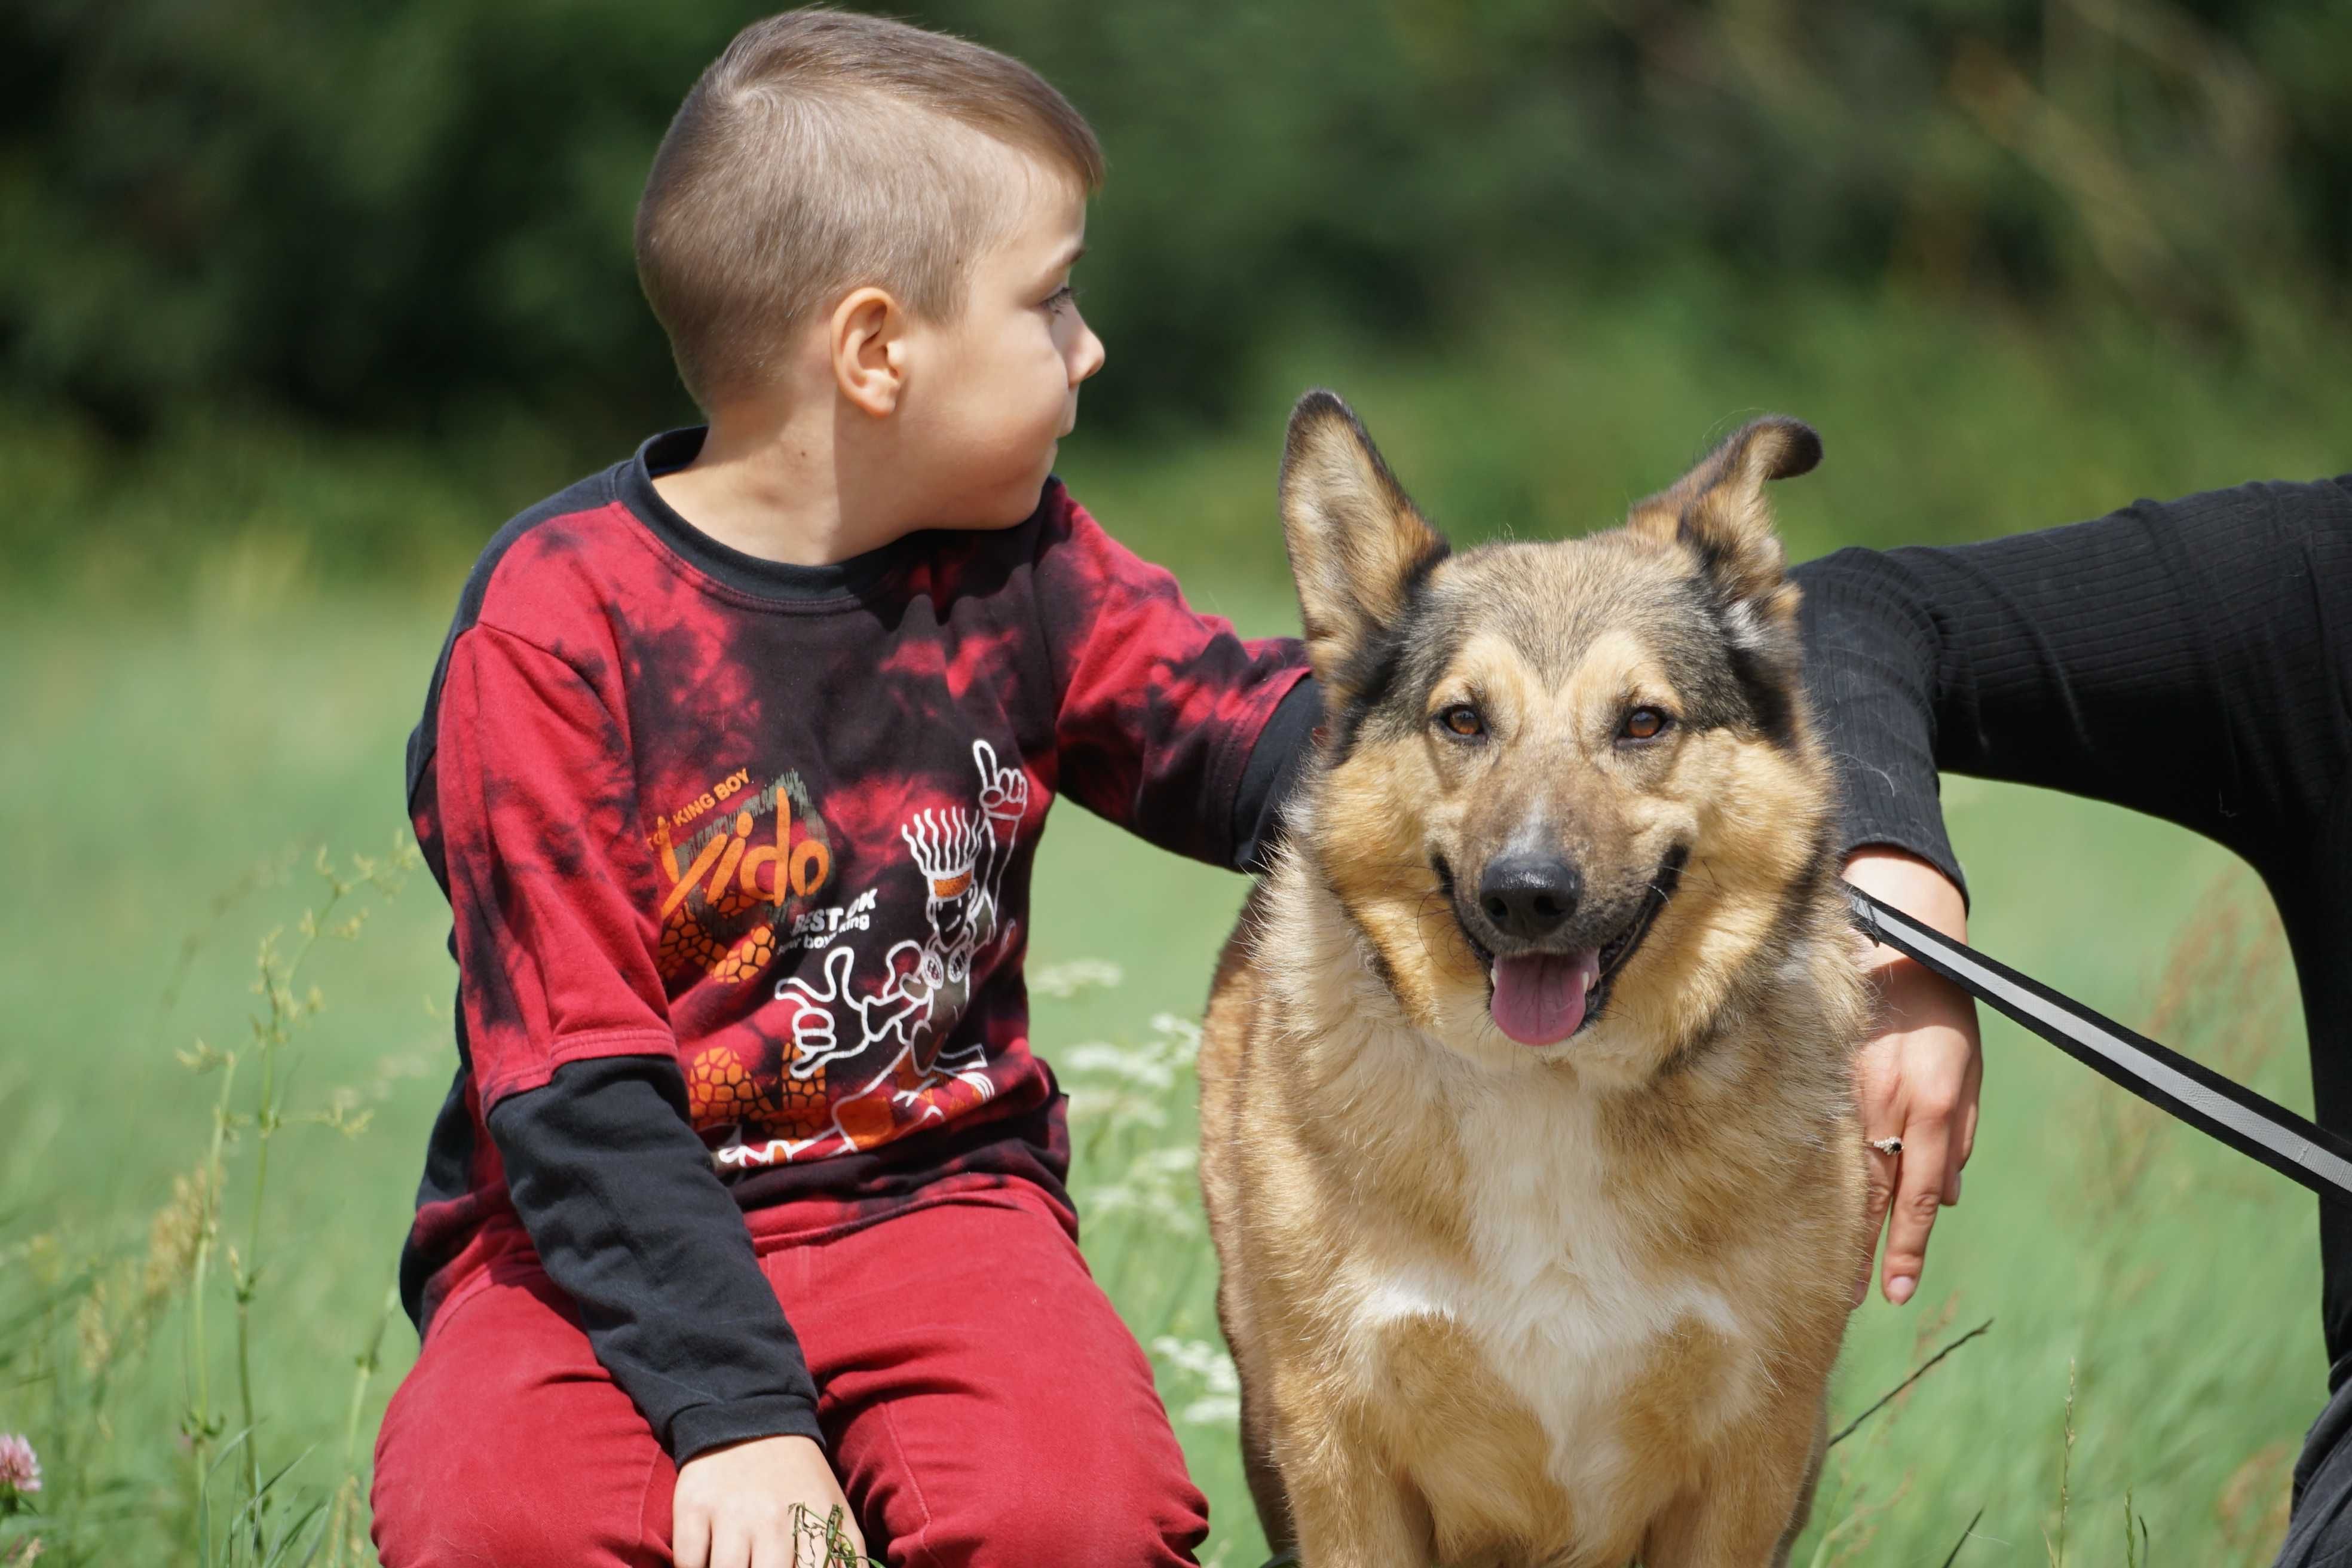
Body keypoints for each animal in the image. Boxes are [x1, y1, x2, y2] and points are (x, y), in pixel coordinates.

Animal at [1204, 394, 1863, 1568]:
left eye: (1643, 720)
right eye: (1464, 718)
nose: (1527, 894)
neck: (1550, 1084)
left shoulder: (1750, 1456)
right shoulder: (1340, 1450)